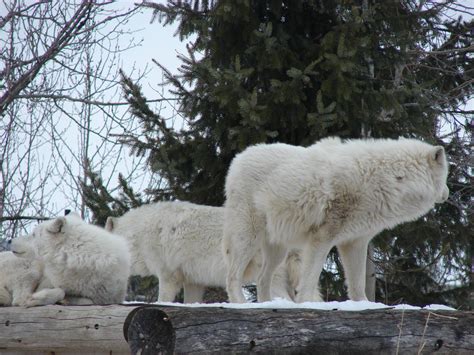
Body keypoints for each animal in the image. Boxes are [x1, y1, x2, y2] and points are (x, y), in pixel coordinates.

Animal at [224, 136, 450, 304]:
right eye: (446, 176)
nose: (447, 194)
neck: (389, 180)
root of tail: (238, 158)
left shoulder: (355, 242)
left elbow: (357, 284)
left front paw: (363, 306)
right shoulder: (322, 238)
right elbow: (310, 278)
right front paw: (307, 304)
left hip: (278, 250)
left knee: (262, 279)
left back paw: (266, 304)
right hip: (249, 239)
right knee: (233, 276)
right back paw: (242, 304)